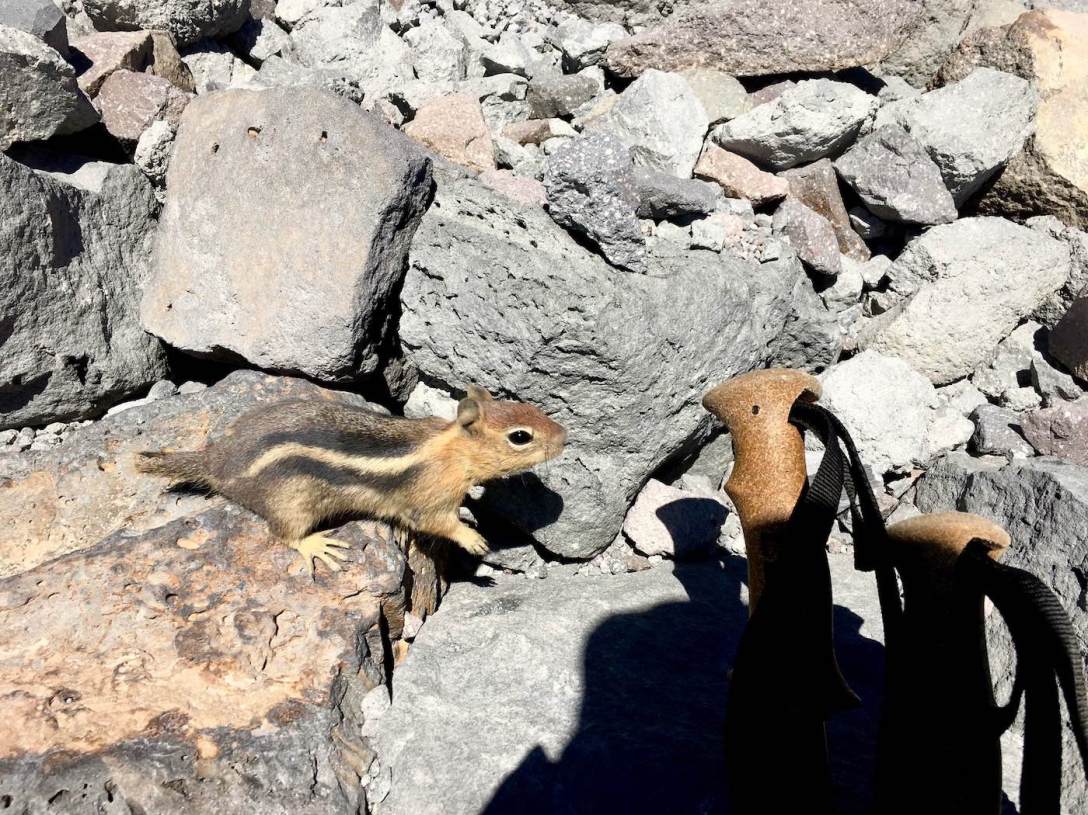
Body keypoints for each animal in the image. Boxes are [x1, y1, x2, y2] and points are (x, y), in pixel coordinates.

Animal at [135, 386, 567, 576]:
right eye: (520, 437)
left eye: (529, 406)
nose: (565, 435)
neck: (450, 450)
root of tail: (219, 461)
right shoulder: (429, 497)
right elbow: (436, 522)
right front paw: (472, 537)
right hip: (291, 500)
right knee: (283, 533)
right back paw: (316, 545)